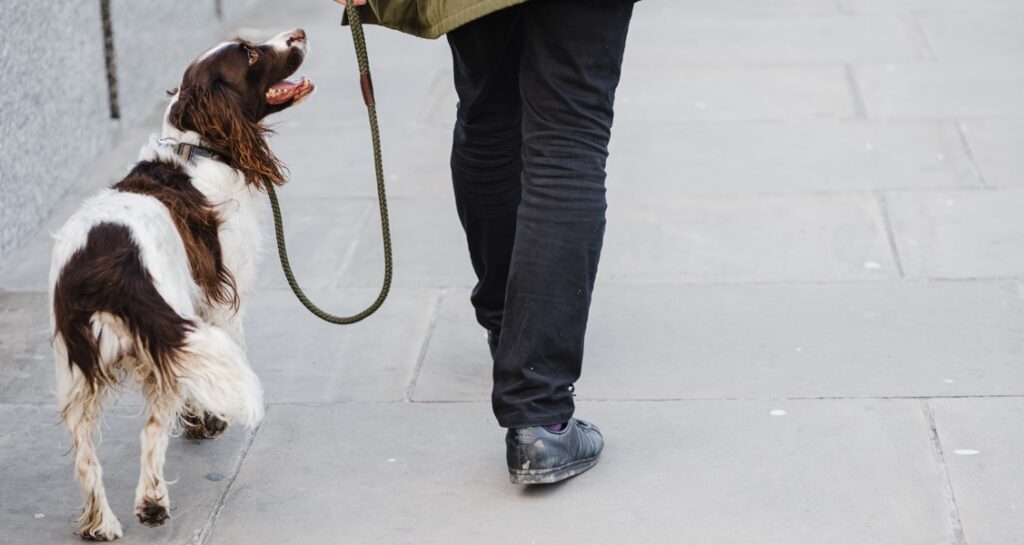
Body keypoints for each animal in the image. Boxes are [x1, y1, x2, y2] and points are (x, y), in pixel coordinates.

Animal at [49, 29, 313, 540]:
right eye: (249, 53)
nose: (298, 34)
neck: (197, 147)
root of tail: (103, 268)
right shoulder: (219, 298)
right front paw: (208, 419)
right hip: (160, 332)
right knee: (151, 431)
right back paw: (151, 502)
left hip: (77, 372)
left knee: (86, 453)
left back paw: (100, 523)